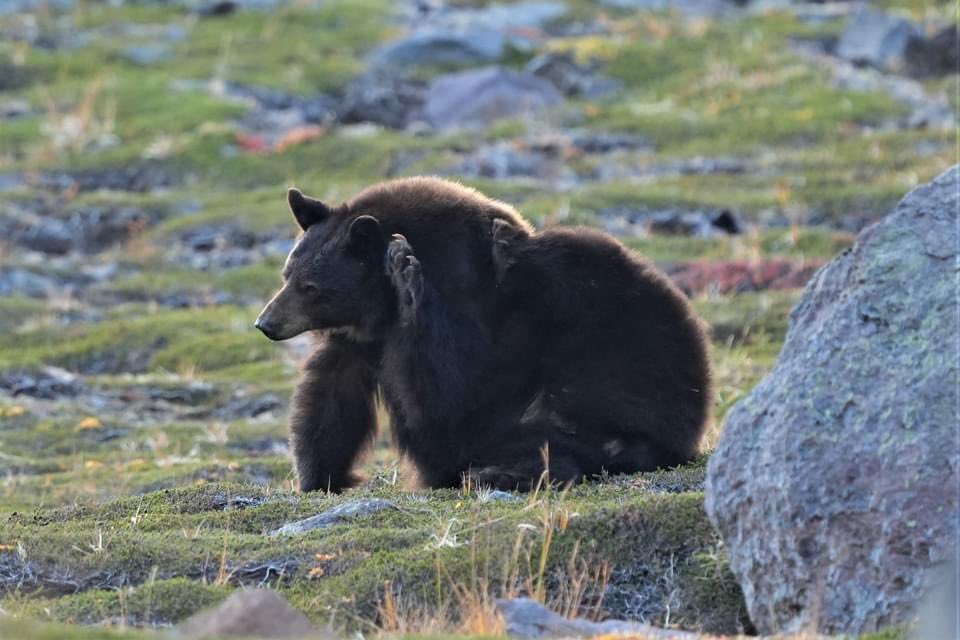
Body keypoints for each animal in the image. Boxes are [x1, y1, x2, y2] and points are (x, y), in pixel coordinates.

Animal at [255, 176, 712, 492]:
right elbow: (332, 393)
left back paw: (499, 472)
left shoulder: (471, 301)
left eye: (311, 287)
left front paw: (405, 269)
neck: (378, 310)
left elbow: (450, 391)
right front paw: (318, 477)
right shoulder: (356, 339)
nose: (266, 323)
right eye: (288, 273)